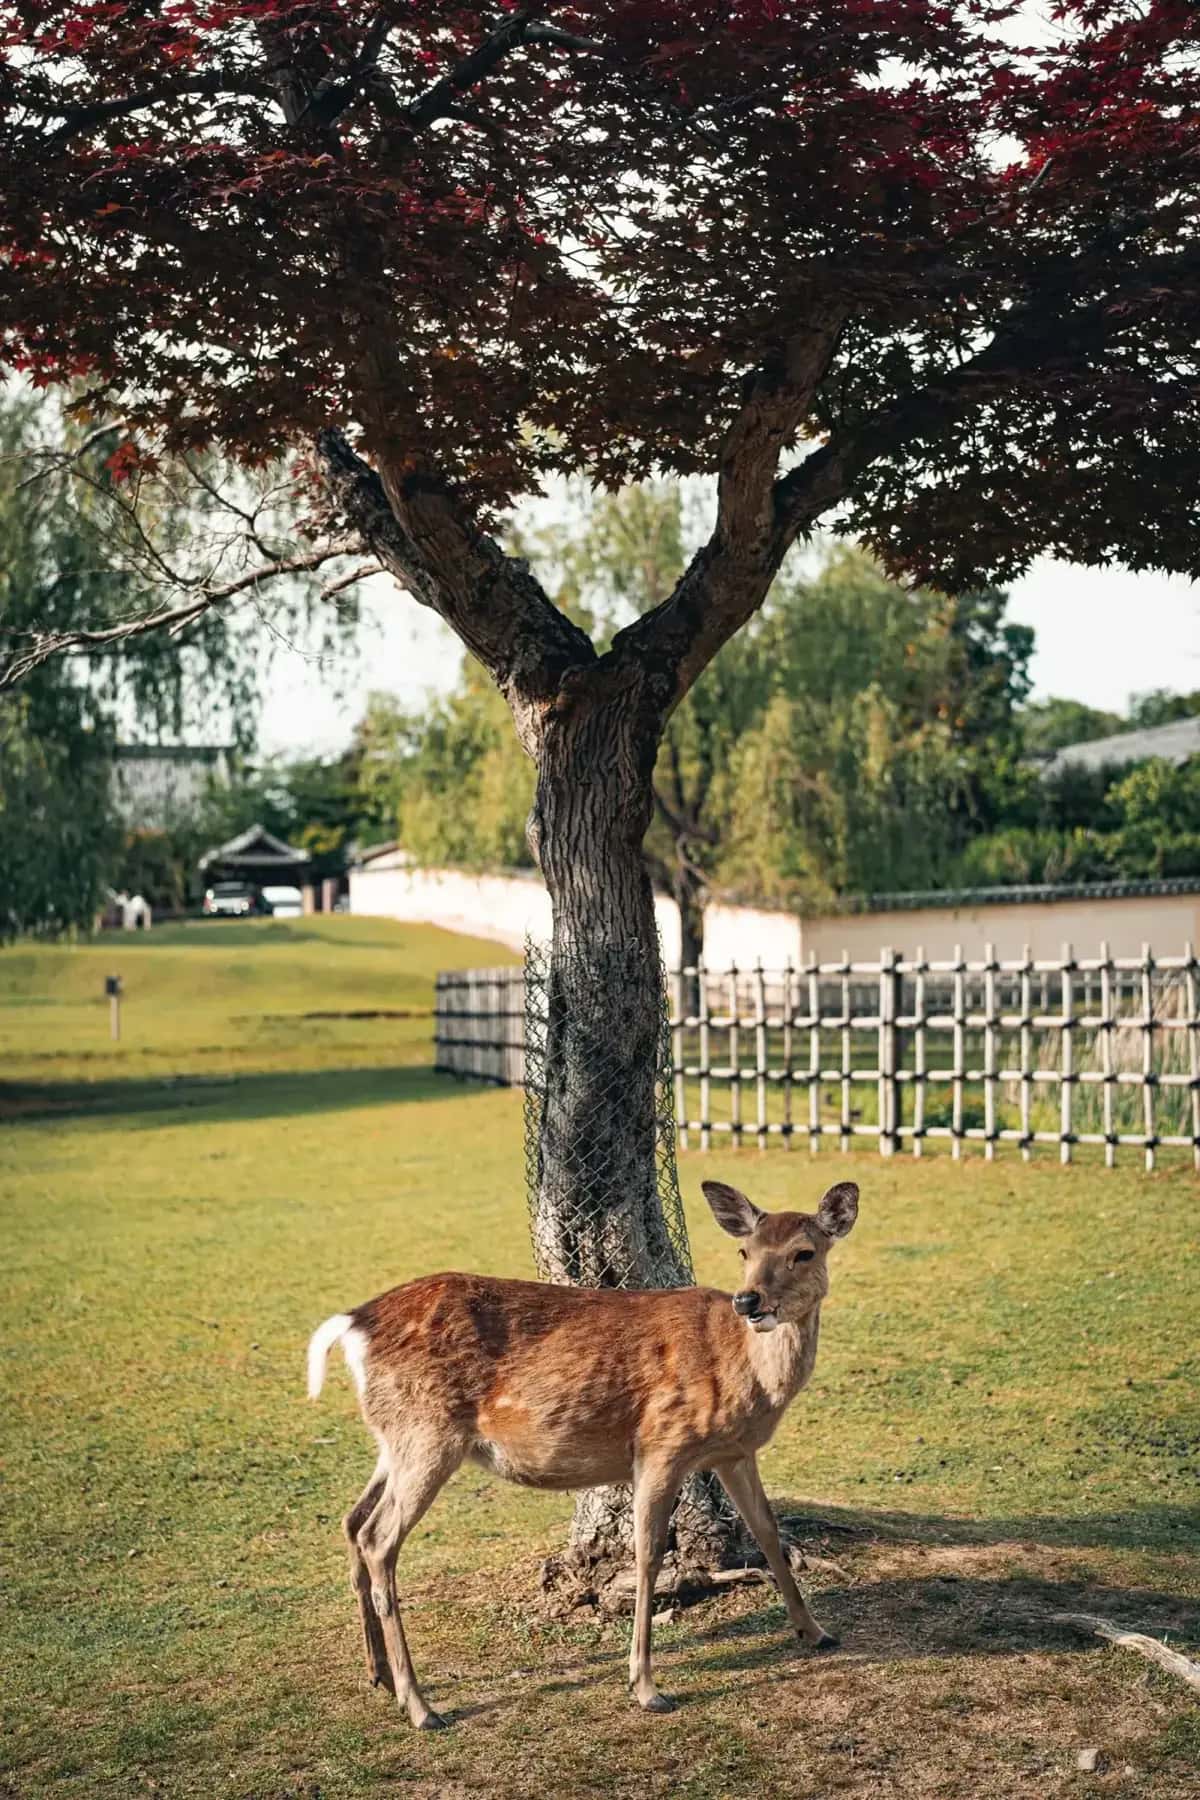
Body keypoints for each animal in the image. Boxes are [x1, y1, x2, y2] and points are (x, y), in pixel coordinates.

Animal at [306, 1177, 858, 1727]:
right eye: (745, 1250)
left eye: (804, 1252)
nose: (750, 1301)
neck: (747, 1374)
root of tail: (351, 1326)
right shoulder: (661, 1442)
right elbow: (648, 1555)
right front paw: (645, 1686)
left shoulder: (733, 1452)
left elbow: (767, 1531)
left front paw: (815, 1632)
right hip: (427, 1434)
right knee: (379, 1538)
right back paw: (420, 1706)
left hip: (395, 1438)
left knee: (353, 1520)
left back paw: (379, 1675)